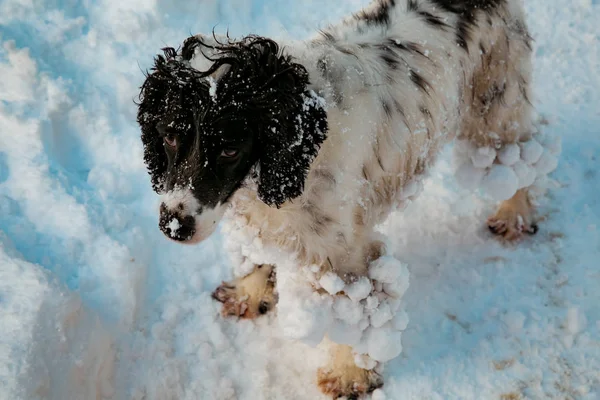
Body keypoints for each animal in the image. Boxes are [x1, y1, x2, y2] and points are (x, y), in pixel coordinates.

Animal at [137, 1, 556, 398]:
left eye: (229, 149)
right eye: (169, 135)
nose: (174, 226)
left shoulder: (345, 259)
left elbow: (357, 317)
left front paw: (350, 375)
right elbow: (261, 254)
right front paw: (248, 293)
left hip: (496, 100)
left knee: (520, 156)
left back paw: (514, 214)